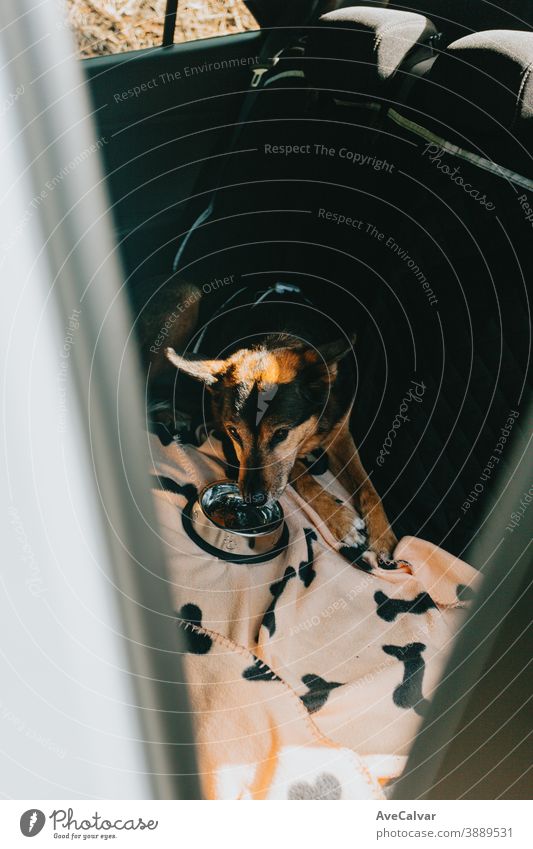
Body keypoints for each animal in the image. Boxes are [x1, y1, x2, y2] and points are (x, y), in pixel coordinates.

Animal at [139, 274, 396, 568]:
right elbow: (301, 475)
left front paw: (383, 536)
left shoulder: (340, 433)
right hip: (187, 295)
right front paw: (340, 518)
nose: (253, 500)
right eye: (234, 433)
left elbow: (369, 487)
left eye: (281, 434)